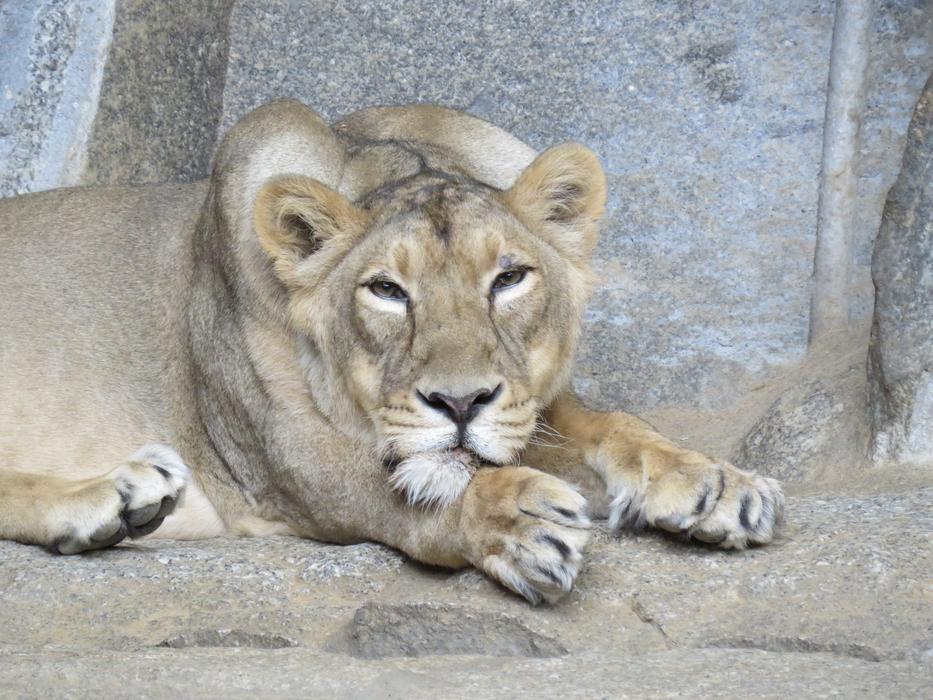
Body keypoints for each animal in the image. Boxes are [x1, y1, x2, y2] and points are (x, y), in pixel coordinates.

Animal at [0, 100, 783, 603]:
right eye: (386, 290)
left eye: (508, 279)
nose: (460, 403)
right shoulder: (280, 450)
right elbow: (409, 494)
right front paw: (517, 521)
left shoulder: (533, 399)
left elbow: (612, 423)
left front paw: (713, 482)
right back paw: (115, 494)